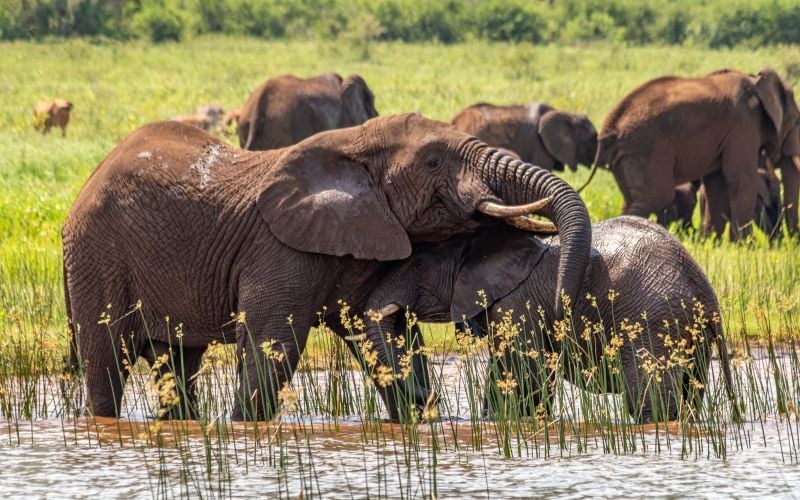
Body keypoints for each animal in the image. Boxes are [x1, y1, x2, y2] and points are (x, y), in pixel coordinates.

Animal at [61, 113, 592, 421]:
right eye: (433, 161)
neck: (352, 145)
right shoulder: (280, 246)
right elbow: (274, 342)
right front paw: (243, 428)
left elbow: (381, 332)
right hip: (97, 253)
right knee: (106, 359)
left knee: (176, 360)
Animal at [363, 217, 734, 423]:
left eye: (417, 264)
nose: (428, 398)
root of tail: (705, 291)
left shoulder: (517, 303)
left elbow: (522, 375)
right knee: (689, 393)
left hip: (652, 320)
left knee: (648, 399)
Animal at [595, 68, 800, 240]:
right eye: (797, 122)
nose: (789, 242)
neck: (756, 80)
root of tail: (609, 128)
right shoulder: (745, 125)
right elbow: (741, 178)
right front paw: (746, 246)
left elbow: (716, 184)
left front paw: (712, 243)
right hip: (645, 149)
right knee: (656, 196)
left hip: (628, 156)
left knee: (632, 199)